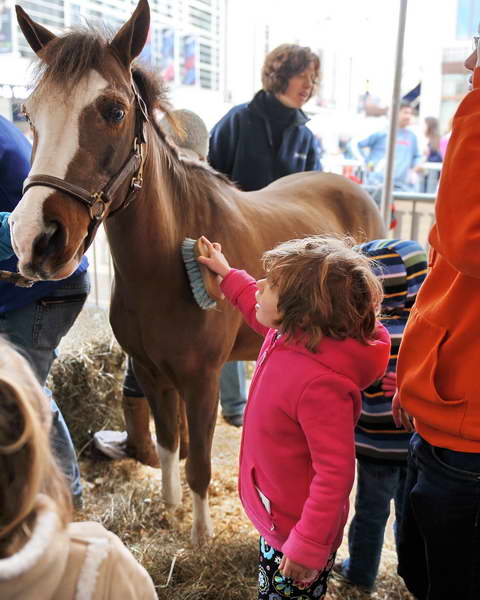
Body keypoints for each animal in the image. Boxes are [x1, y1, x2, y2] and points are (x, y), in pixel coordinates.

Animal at [11, 0, 386, 544]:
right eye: (29, 112)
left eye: (114, 110)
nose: (34, 238)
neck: (161, 270)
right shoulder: (151, 373)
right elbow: (169, 443)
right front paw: (169, 508)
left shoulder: (201, 380)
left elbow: (201, 464)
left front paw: (201, 535)